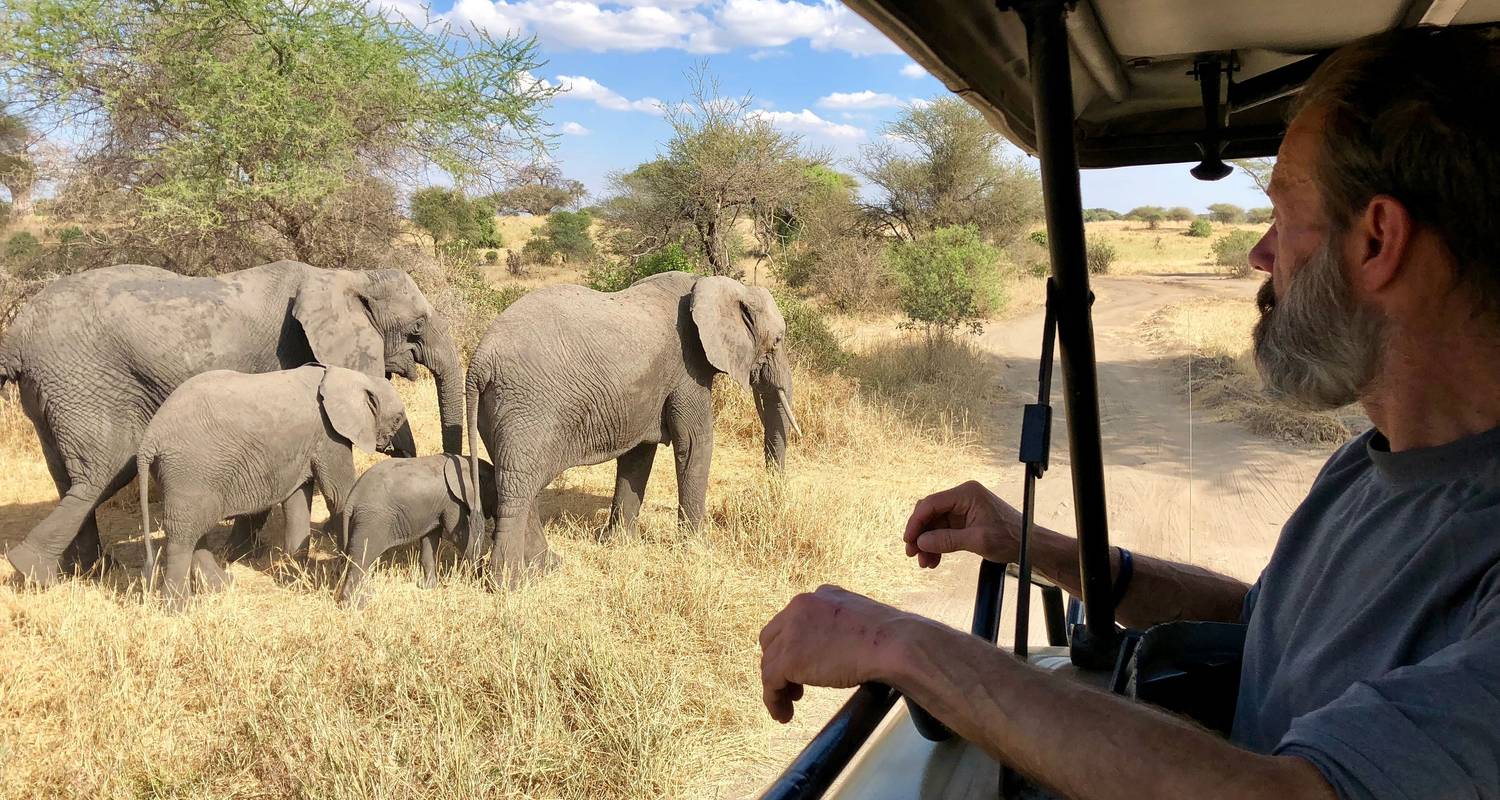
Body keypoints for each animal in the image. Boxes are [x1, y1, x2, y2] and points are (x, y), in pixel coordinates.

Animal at [141, 361, 411, 600]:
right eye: (398, 419)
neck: (344, 374)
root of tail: (150, 439)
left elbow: (297, 499)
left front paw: (296, 565)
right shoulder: (329, 435)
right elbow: (338, 493)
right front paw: (337, 567)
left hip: (179, 474)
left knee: (193, 530)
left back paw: (221, 587)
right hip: (190, 470)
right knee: (183, 535)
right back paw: (178, 606)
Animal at [336, 456, 495, 606]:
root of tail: (351, 499)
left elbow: (430, 538)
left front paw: (427, 587)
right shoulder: (452, 502)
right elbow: (458, 535)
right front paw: (480, 577)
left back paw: (367, 596)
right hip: (372, 520)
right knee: (362, 557)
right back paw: (356, 605)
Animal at [468, 271, 804, 582]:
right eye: (777, 341)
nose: (771, 494)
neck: (709, 283)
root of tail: (479, 362)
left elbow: (638, 454)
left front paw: (619, 543)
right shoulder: (687, 368)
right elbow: (695, 443)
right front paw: (699, 549)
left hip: (500, 410)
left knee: (519, 482)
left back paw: (547, 566)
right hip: (529, 408)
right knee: (519, 487)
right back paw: (509, 582)